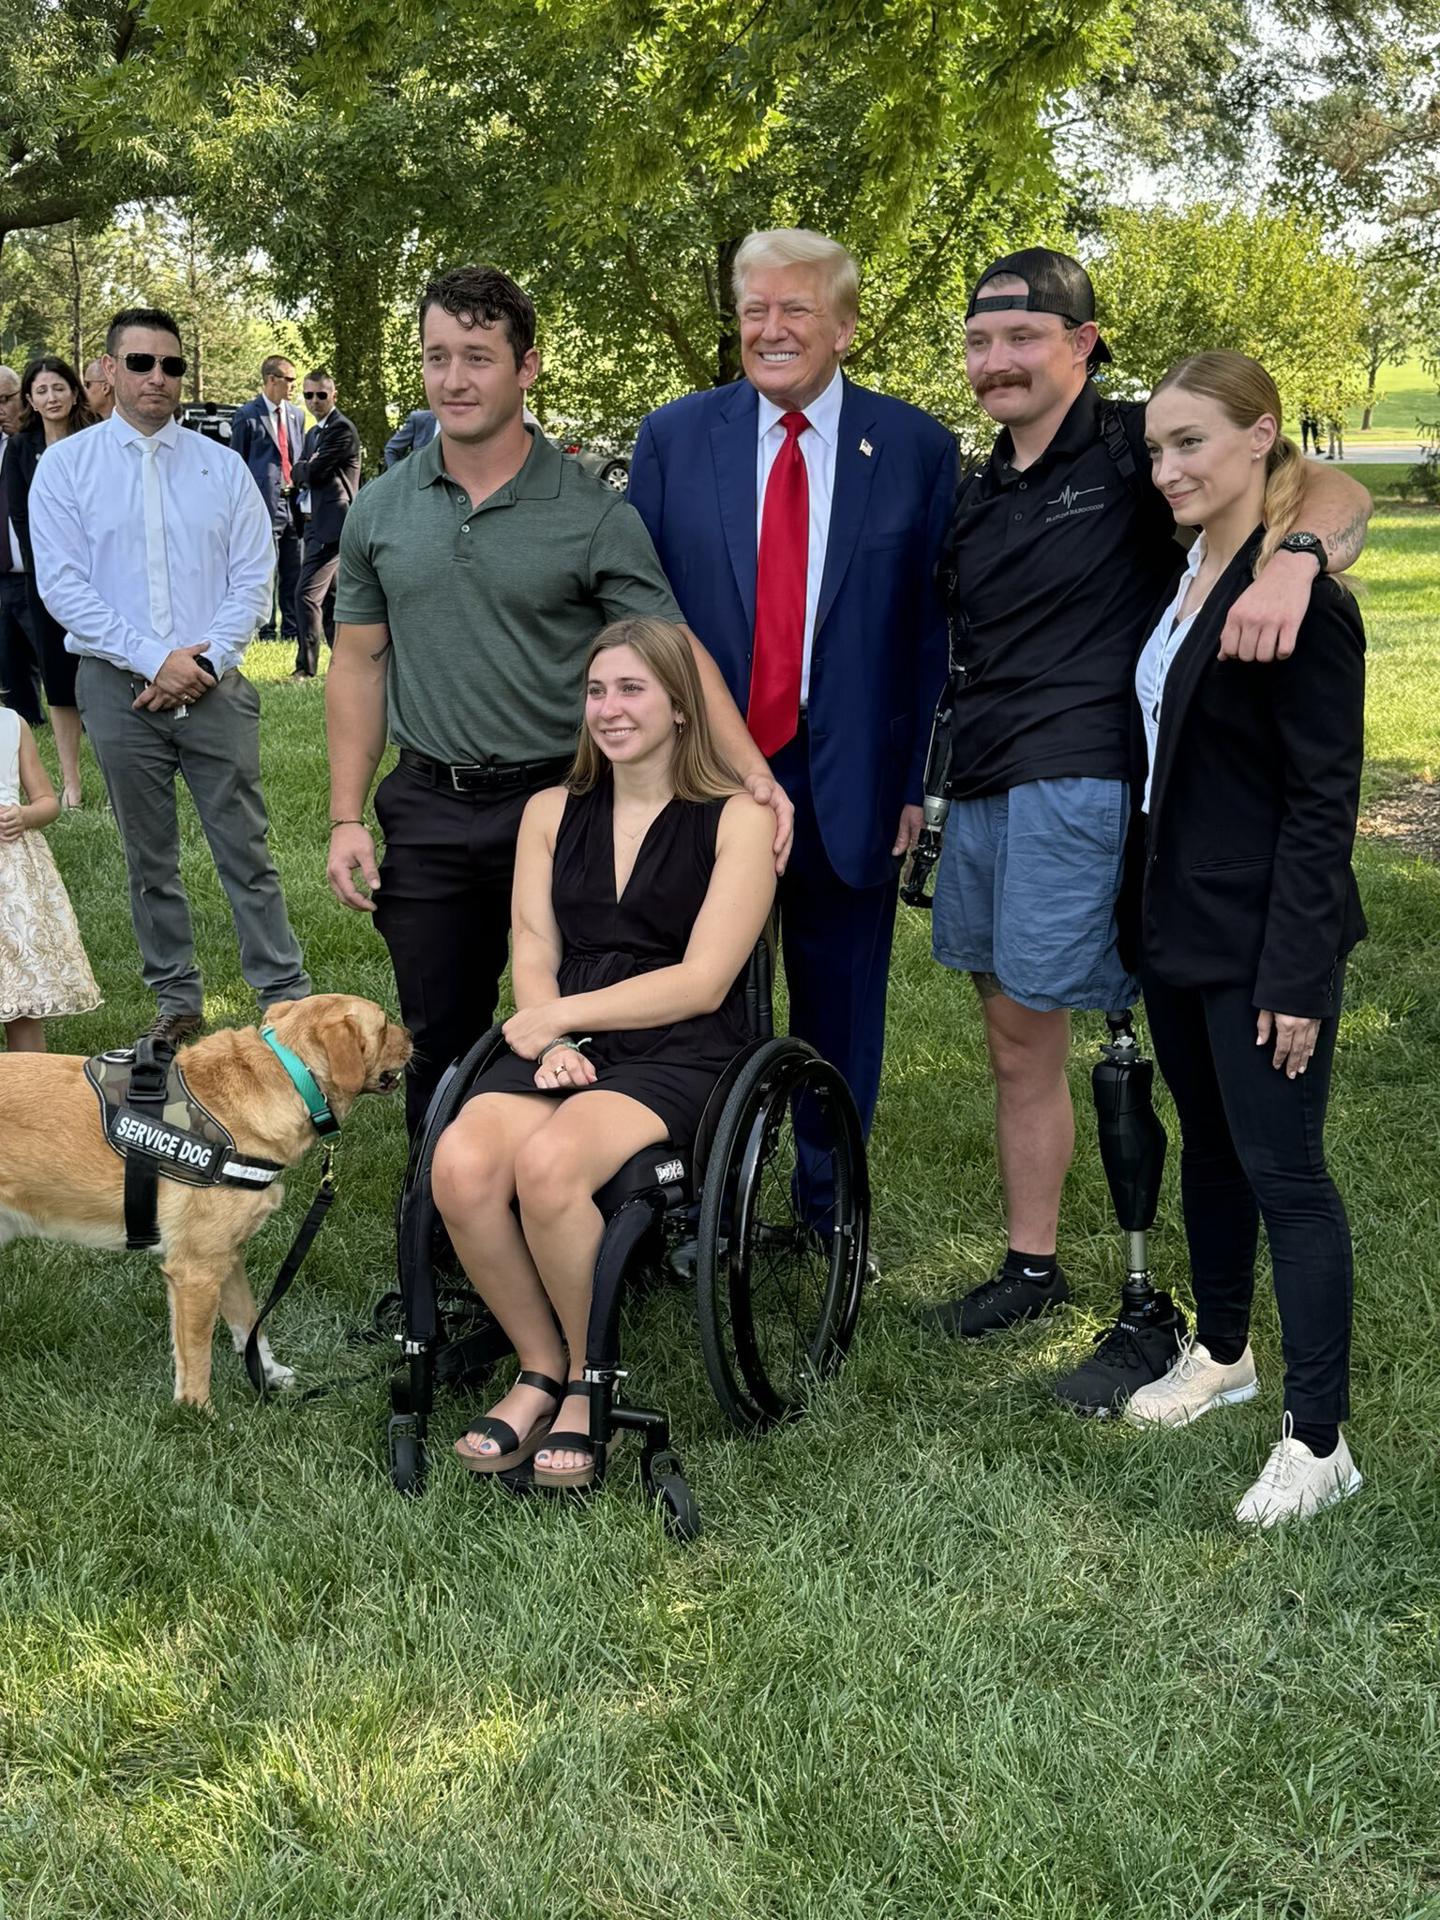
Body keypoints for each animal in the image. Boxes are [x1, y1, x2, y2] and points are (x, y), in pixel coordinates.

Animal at [0, 998, 410, 1405]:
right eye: (384, 1025)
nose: (411, 1035)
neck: (286, 1073)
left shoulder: (227, 1255)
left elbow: (250, 1322)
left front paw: (269, 1374)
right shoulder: (195, 1271)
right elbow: (197, 1358)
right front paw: (198, 1413)